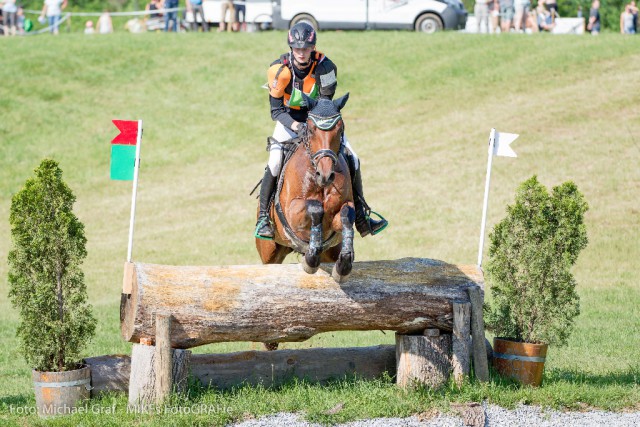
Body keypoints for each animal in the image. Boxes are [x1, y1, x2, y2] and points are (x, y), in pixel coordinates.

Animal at [255, 94, 356, 284]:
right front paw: (311, 259)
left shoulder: (341, 212)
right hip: (270, 251)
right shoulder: (293, 212)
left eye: (340, 129)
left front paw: (344, 265)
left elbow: (347, 216)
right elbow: (315, 208)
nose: (325, 175)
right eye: (310, 130)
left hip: (331, 251)